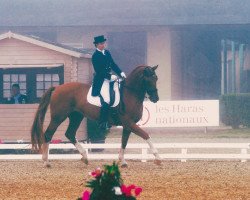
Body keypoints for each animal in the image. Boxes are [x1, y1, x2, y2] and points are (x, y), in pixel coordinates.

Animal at [30, 65, 162, 166]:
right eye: (148, 79)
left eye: (156, 78)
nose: (155, 98)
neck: (130, 94)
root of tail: (57, 87)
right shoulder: (129, 123)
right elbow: (146, 135)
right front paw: (158, 158)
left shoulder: (128, 125)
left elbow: (124, 142)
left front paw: (123, 161)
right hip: (58, 117)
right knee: (48, 134)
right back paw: (46, 161)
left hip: (76, 116)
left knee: (70, 134)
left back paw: (85, 157)